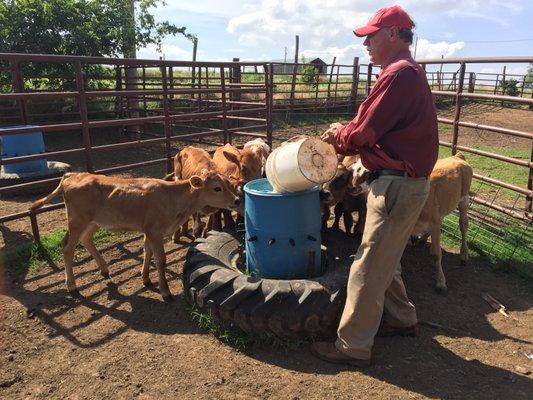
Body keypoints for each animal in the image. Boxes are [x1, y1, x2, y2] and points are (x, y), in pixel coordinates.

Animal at [30, 170, 239, 302]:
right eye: (217, 188)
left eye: (227, 184)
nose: (237, 200)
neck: (174, 199)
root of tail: (72, 175)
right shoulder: (154, 231)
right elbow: (160, 260)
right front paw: (165, 291)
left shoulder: (149, 231)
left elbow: (147, 253)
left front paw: (145, 279)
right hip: (77, 220)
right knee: (67, 248)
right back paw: (72, 286)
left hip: (93, 222)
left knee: (86, 240)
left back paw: (104, 269)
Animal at [410, 152, 472, 290]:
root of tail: (457, 156)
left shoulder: (433, 222)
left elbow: (436, 254)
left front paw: (440, 281)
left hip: (464, 200)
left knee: (463, 225)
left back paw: (464, 255)